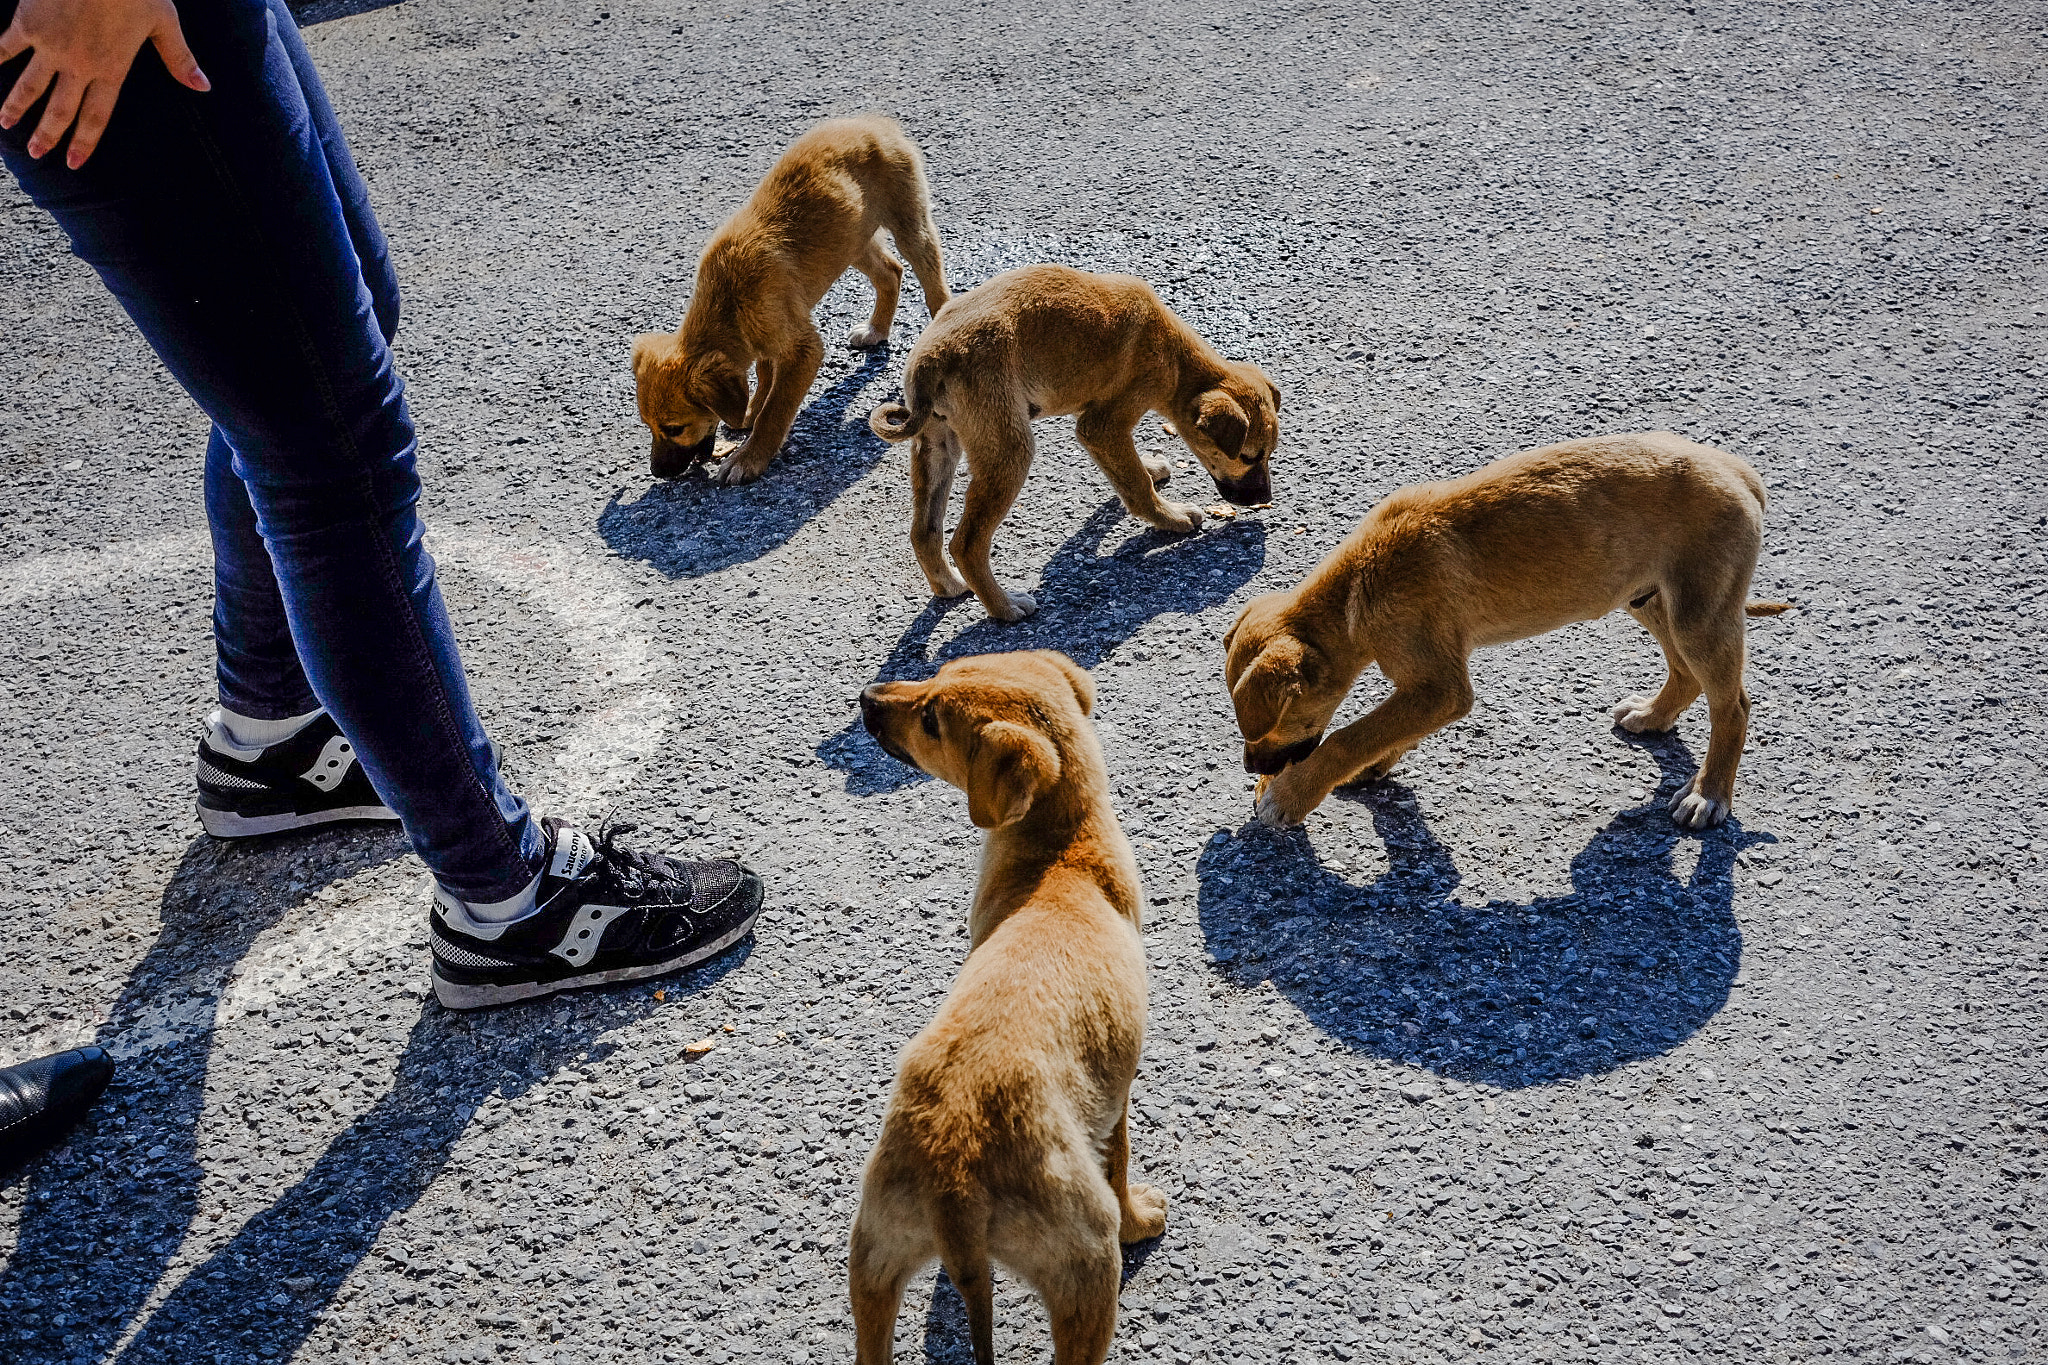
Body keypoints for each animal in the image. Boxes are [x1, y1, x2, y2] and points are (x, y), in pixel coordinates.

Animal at [626, 114, 946, 485]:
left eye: (675, 428)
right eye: (649, 425)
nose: (657, 472)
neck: (728, 300)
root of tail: (875, 121)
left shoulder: (802, 349)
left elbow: (776, 410)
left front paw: (750, 455)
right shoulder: (763, 336)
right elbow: (764, 376)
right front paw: (751, 410)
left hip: (908, 223)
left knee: (932, 282)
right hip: (850, 240)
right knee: (891, 272)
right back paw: (876, 330)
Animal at [851, 650, 1171, 1365]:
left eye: (934, 716)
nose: (866, 697)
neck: (1062, 856)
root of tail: (955, 1174)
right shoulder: (1118, 1098)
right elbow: (1120, 1164)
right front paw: (1141, 1219)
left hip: (874, 1255)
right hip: (1086, 1266)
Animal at [864, 263, 1277, 626]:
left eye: (1269, 454)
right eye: (1248, 456)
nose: (1264, 499)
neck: (1175, 359)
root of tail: (931, 358)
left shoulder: (1098, 426)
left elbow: (1128, 472)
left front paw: (1150, 468)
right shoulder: (1102, 425)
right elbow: (1137, 486)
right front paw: (1170, 517)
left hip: (937, 444)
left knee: (925, 531)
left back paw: (948, 585)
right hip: (1009, 450)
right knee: (966, 543)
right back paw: (1004, 608)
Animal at [1220, 431, 1785, 826]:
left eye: (1269, 726)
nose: (1250, 770)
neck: (1361, 583)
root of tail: (1739, 471)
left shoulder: (1441, 686)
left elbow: (1351, 735)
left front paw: (1290, 795)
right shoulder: (1431, 685)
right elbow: (1389, 728)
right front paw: (1373, 765)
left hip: (1699, 614)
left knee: (1733, 705)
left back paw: (1709, 794)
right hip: (1645, 596)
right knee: (1685, 674)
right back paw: (1654, 715)